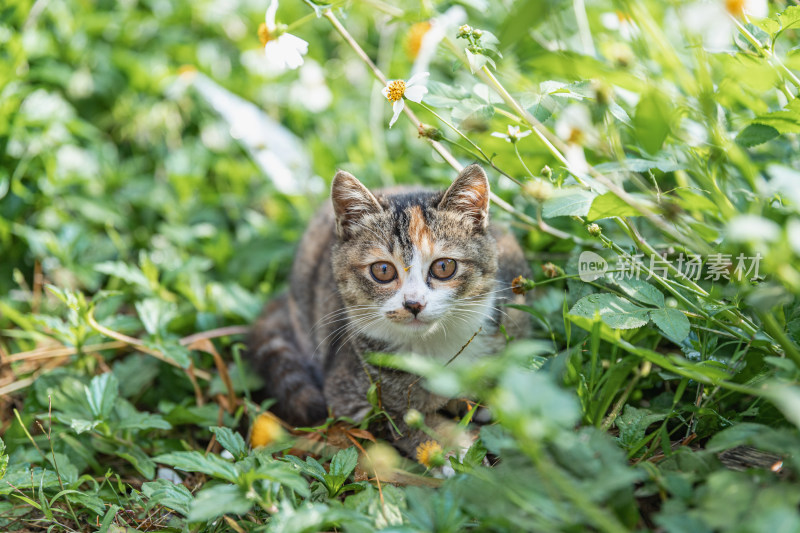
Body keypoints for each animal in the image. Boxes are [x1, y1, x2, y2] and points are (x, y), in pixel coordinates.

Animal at [247, 164, 528, 456]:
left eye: (444, 267)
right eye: (382, 270)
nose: (414, 303)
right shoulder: (349, 396)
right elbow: (399, 419)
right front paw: (449, 445)